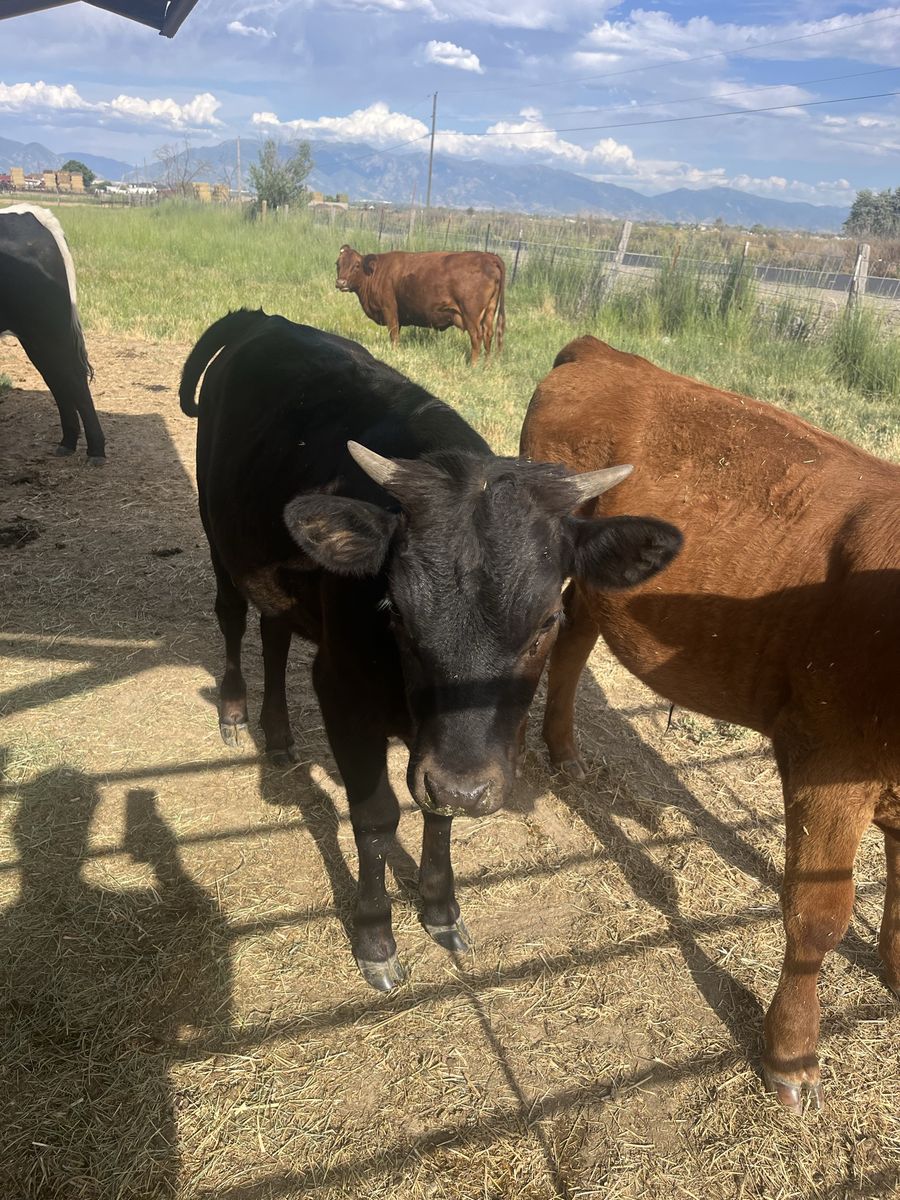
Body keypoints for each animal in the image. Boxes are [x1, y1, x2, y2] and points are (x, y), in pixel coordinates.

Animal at [0, 204, 105, 463]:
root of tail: (31, 212)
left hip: (49, 325)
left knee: (72, 376)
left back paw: (96, 450)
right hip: (35, 333)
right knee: (56, 376)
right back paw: (68, 442)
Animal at [180, 310, 681, 992]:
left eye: (548, 620)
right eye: (394, 609)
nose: (467, 789)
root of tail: (264, 319)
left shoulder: (449, 753)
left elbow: (436, 813)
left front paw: (441, 907)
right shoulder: (342, 693)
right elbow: (375, 815)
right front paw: (375, 937)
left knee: (275, 631)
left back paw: (278, 734)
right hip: (218, 533)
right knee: (233, 617)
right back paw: (235, 712)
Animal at [335, 245, 505, 364]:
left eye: (357, 265)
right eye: (338, 264)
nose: (340, 282)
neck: (376, 272)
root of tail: (489, 256)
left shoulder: (389, 309)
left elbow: (393, 334)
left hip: (471, 314)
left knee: (477, 337)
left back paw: (473, 365)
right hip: (489, 312)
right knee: (488, 336)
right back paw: (487, 366)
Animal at [520, 333, 900, 1113]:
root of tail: (607, 354)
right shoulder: (826, 758)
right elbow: (817, 913)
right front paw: (791, 1056)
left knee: (573, 636)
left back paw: (564, 750)